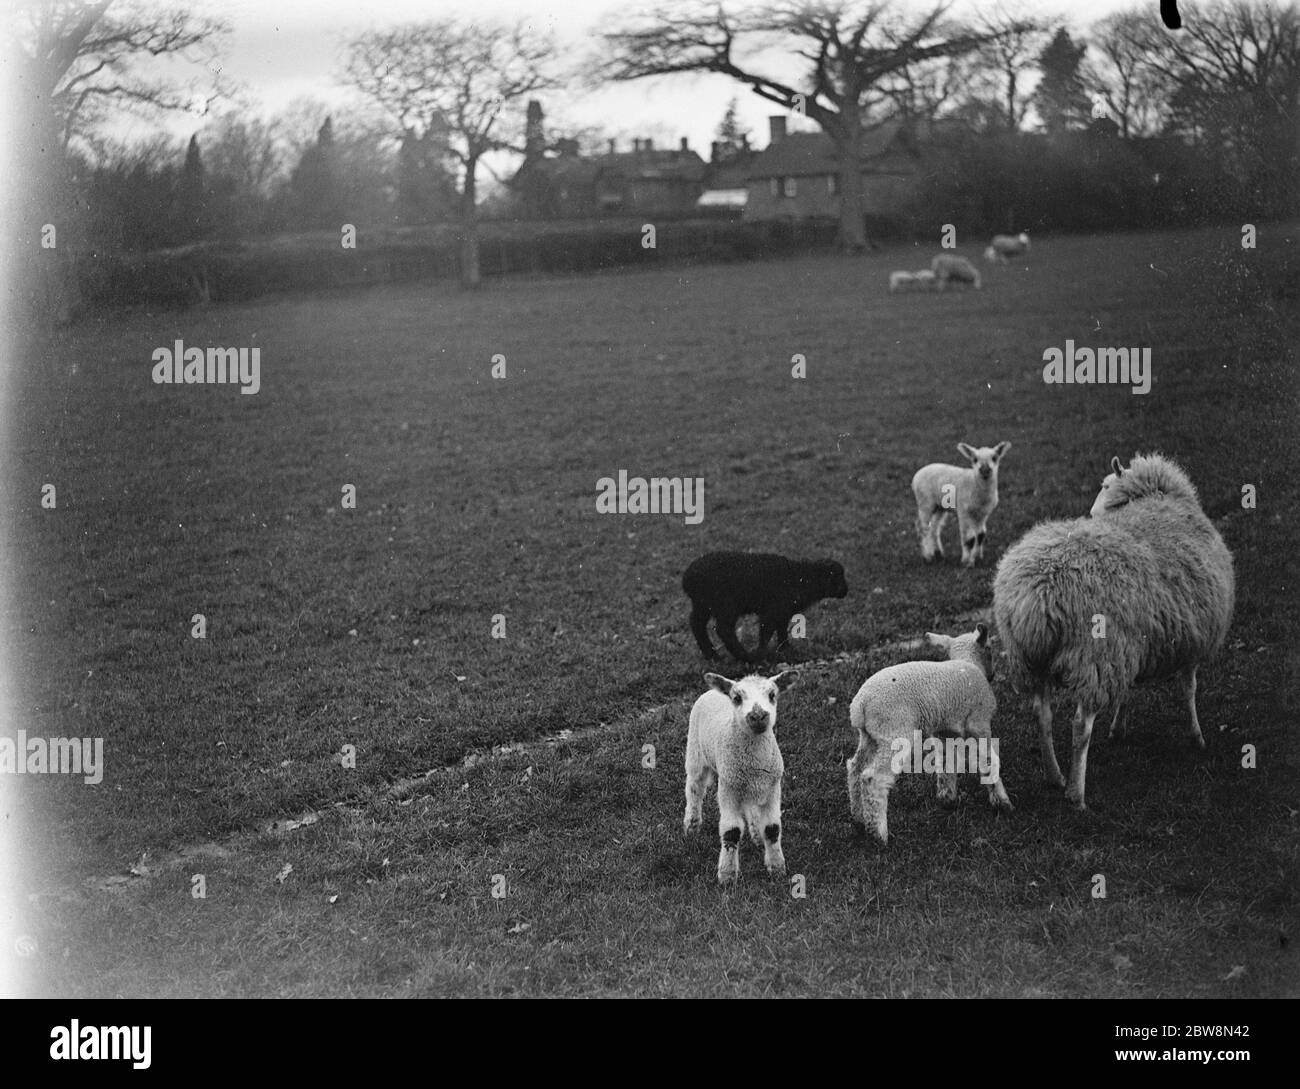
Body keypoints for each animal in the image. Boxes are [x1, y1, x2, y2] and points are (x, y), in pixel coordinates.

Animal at [681, 553, 852, 665]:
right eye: (835, 575)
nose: (845, 590)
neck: (801, 577)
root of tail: (688, 578)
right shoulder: (771, 610)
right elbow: (766, 631)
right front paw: (762, 653)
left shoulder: (784, 611)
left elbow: (782, 630)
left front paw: (786, 649)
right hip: (725, 604)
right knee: (724, 629)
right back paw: (746, 657)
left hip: (703, 604)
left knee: (696, 624)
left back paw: (712, 656)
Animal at [686, 665, 795, 888]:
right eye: (737, 698)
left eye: (772, 695)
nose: (758, 716)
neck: (754, 761)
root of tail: (712, 692)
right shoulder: (728, 788)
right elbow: (732, 832)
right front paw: (727, 876)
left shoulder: (772, 788)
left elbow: (772, 829)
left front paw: (777, 868)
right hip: (695, 751)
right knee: (694, 787)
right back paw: (692, 824)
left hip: (750, 785)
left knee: (751, 807)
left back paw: (756, 835)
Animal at [842, 623, 1013, 842]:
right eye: (990, 648)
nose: (992, 675)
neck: (968, 662)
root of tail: (860, 704)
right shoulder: (979, 721)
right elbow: (988, 761)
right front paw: (1003, 803)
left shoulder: (946, 730)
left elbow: (947, 762)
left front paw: (948, 798)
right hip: (894, 731)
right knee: (873, 778)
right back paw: (879, 834)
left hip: (870, 736)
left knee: (855, 768)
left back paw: (858, 817)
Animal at [987, 452, 1232, 810]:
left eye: (1104, 485)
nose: (1091, 512)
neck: (1151, 497)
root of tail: (1038, 590)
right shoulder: (1193, 639)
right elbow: (1189, 689)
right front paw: (1197, 737)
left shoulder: (1132, 646)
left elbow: (1128, 690)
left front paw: (1119, 728)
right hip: (1094, 655)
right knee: (1080, 726)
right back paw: (1076, 794)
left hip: (1032, 659)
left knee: (1041, 715)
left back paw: (1055, 776)